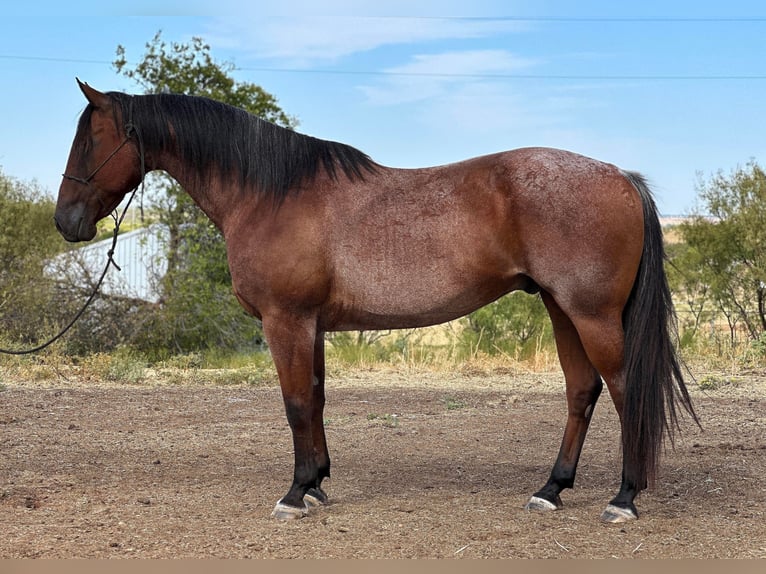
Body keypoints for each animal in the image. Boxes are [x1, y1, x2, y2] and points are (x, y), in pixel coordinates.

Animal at [54, 80, 700, 528]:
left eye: (91, 140)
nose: (66, 221)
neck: (271, 193)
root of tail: (620, 176)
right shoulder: (310, 325)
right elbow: (315, 400)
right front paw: (317, 483)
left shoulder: (287, 321)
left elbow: (295, 404)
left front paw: (294, 495)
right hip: (563, 309)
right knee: (582, 391)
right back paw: (550, 490)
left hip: (591, 314)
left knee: (624, 390)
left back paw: (624, 498)